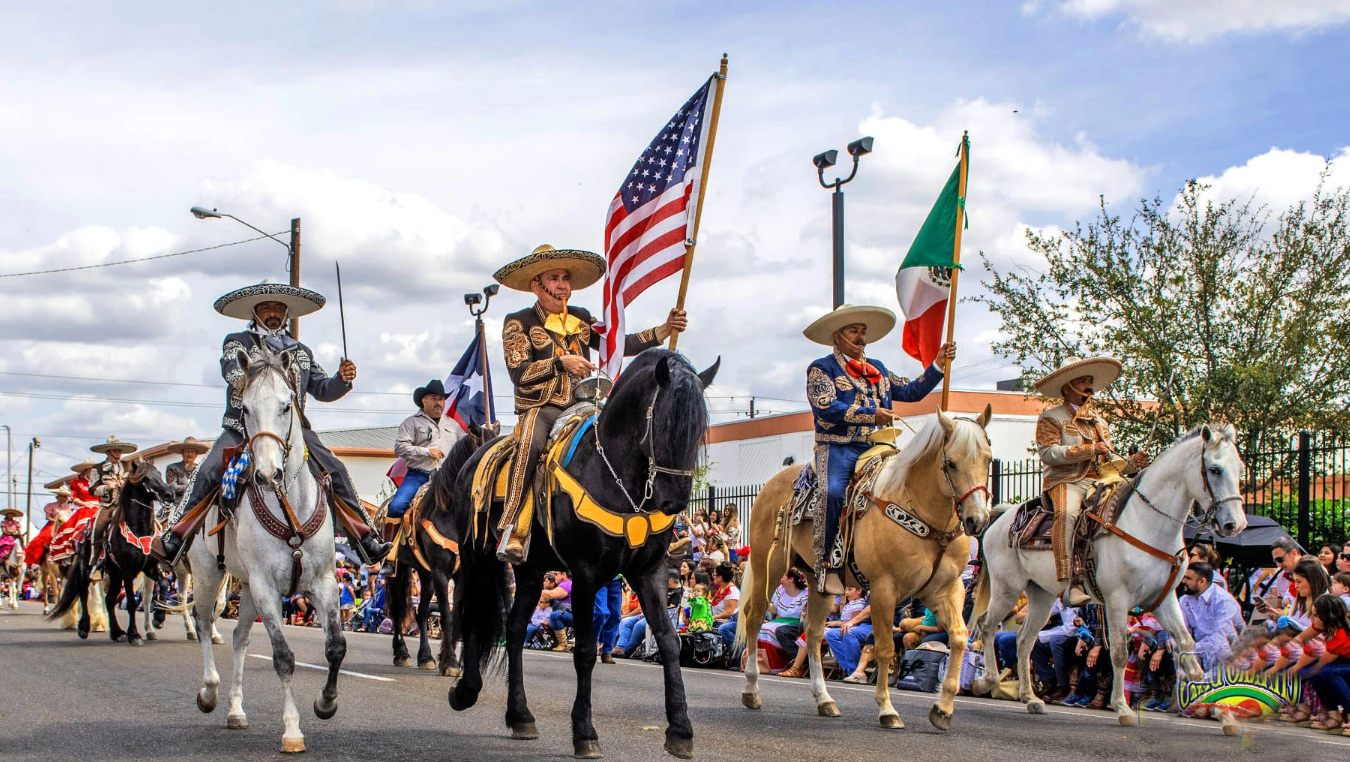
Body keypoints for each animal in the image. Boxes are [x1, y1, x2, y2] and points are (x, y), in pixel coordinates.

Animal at [186, 345, 348, 756]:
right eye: (244, 408)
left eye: (287, 404)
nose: (267, 475)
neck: (289, 507)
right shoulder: (266, 588)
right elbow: (284, 657)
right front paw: (292, 731)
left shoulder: (324, 583)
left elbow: (335, 647)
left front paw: (326, 703)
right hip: (209, 573)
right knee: (204, 621)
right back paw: (209, 693)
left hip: (244, 588)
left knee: (240, 639)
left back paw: (235, 710)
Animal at [442, 348, 718, 756]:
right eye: (667, 422)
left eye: (699, 428)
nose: (676, 501)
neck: (616, 475)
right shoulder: (586, 573)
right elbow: (585, 650)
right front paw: (585, 732)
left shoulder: (648, 572)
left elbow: (669, 641)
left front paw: (681, 730)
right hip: (476, 556)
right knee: (473, 613)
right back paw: (466, 690)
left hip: (531, 570)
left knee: (514, 627)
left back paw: (520, 715)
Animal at [739, 410, 993, 729]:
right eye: (951, 463)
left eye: (988, 459)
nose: (976, 520)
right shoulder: (884, 588)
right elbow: (884, 648)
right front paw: (887, 709)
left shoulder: (945, 589)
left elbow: (959, 638)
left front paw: (943, 709)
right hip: (768, 567)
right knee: (754, 618)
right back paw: (751, 690)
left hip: (819, 581)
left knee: (813, 633)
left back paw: (825, 699)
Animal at [977, 421, 1247, 724]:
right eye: (1214, 469)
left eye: (1240, 468)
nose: (1235, 525)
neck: (1145, 524)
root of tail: (1001, 517)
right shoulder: (1118, 599)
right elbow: (1118, 651)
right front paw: (1123, 707)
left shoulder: (1163, 599)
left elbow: (1186, 641)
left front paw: (1203, 696)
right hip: (1007, 588)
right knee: (986, 625)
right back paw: (988, 680)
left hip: (1041, 595)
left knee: (1024, 640)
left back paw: (1030, 698)